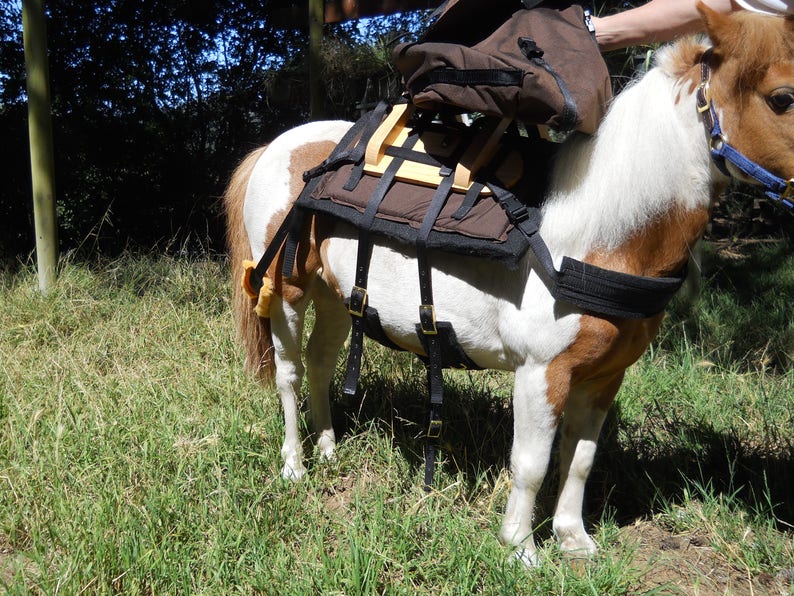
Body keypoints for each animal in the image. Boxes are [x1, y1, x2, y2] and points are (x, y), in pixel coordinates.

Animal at [221, 8, 792, 568]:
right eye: (783, 98)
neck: (595, 235)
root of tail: (277, 146)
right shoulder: (542, 372)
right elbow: (533, 462)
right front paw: (520, 547)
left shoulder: (604, 375)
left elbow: (580, 459)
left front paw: (573, 539)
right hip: (287, 290)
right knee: (290, 374)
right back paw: (295, 466)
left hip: (338, 297)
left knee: (320, 363)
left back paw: (328, 448)